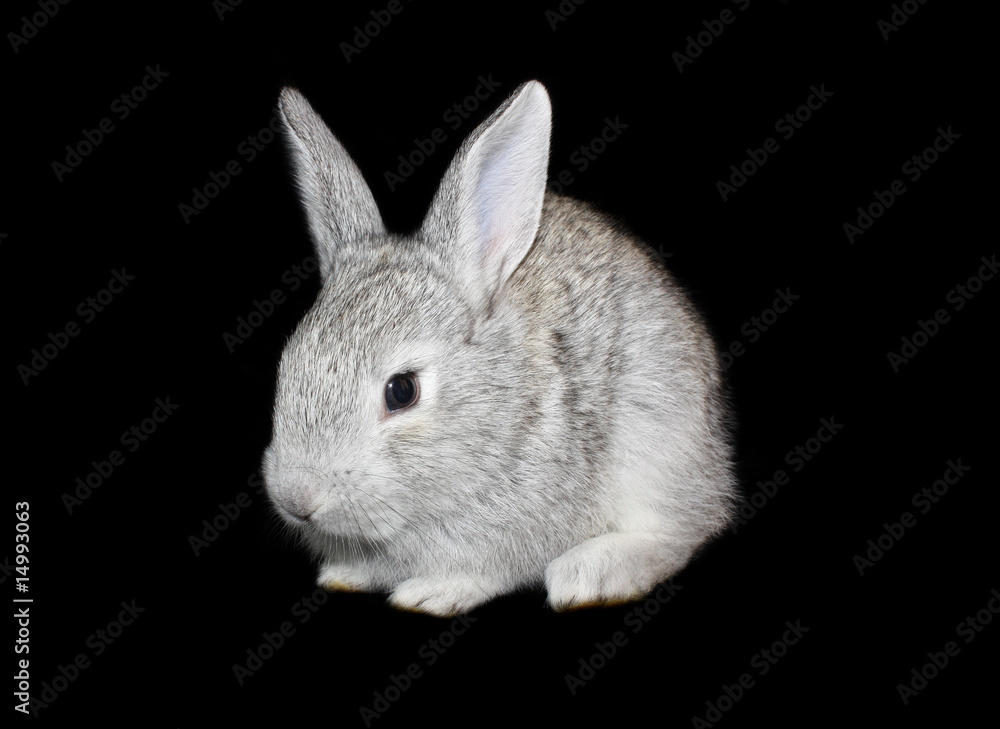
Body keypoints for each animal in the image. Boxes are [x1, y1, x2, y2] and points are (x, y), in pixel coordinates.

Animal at [262, 79, 737, 617]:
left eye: (402, 391)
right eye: (287, 367)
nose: (297, 496)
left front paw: (432, 593)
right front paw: (345, 574)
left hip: (660, 441)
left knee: (682, 529)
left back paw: (589, 574)